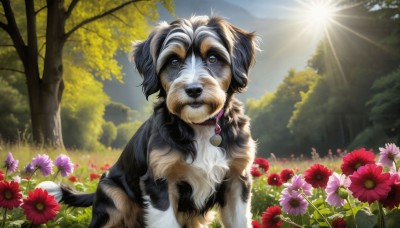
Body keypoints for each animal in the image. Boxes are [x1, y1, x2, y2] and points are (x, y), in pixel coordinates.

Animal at [48, 15, 258, 227]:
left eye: (212, 58)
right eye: (174, 61)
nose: (193, 89)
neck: (199, 126)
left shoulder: (237, 179)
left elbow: (240, 221)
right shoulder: (159, 180)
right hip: (112, 196)